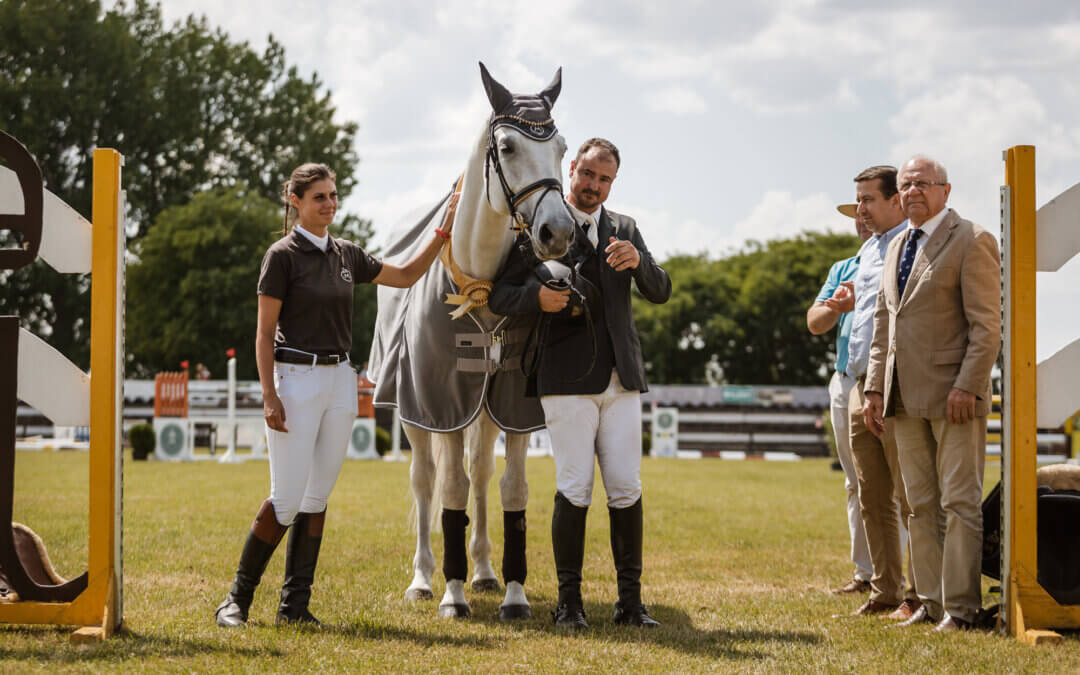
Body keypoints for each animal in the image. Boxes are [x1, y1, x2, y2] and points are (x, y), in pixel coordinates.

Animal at [369, 63, 578, 617]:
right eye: (507, 146)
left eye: (563, 147)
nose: (559, 232)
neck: (479, 282)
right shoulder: (440, 404)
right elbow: (450, 489)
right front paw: (451, 594)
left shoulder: (512, 408)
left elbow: (510, 488)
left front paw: (513, 593)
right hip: (416, 413)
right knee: (425, 481)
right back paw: (424, 578)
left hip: (481, 412)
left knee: (481, 474)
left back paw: (483, 570)